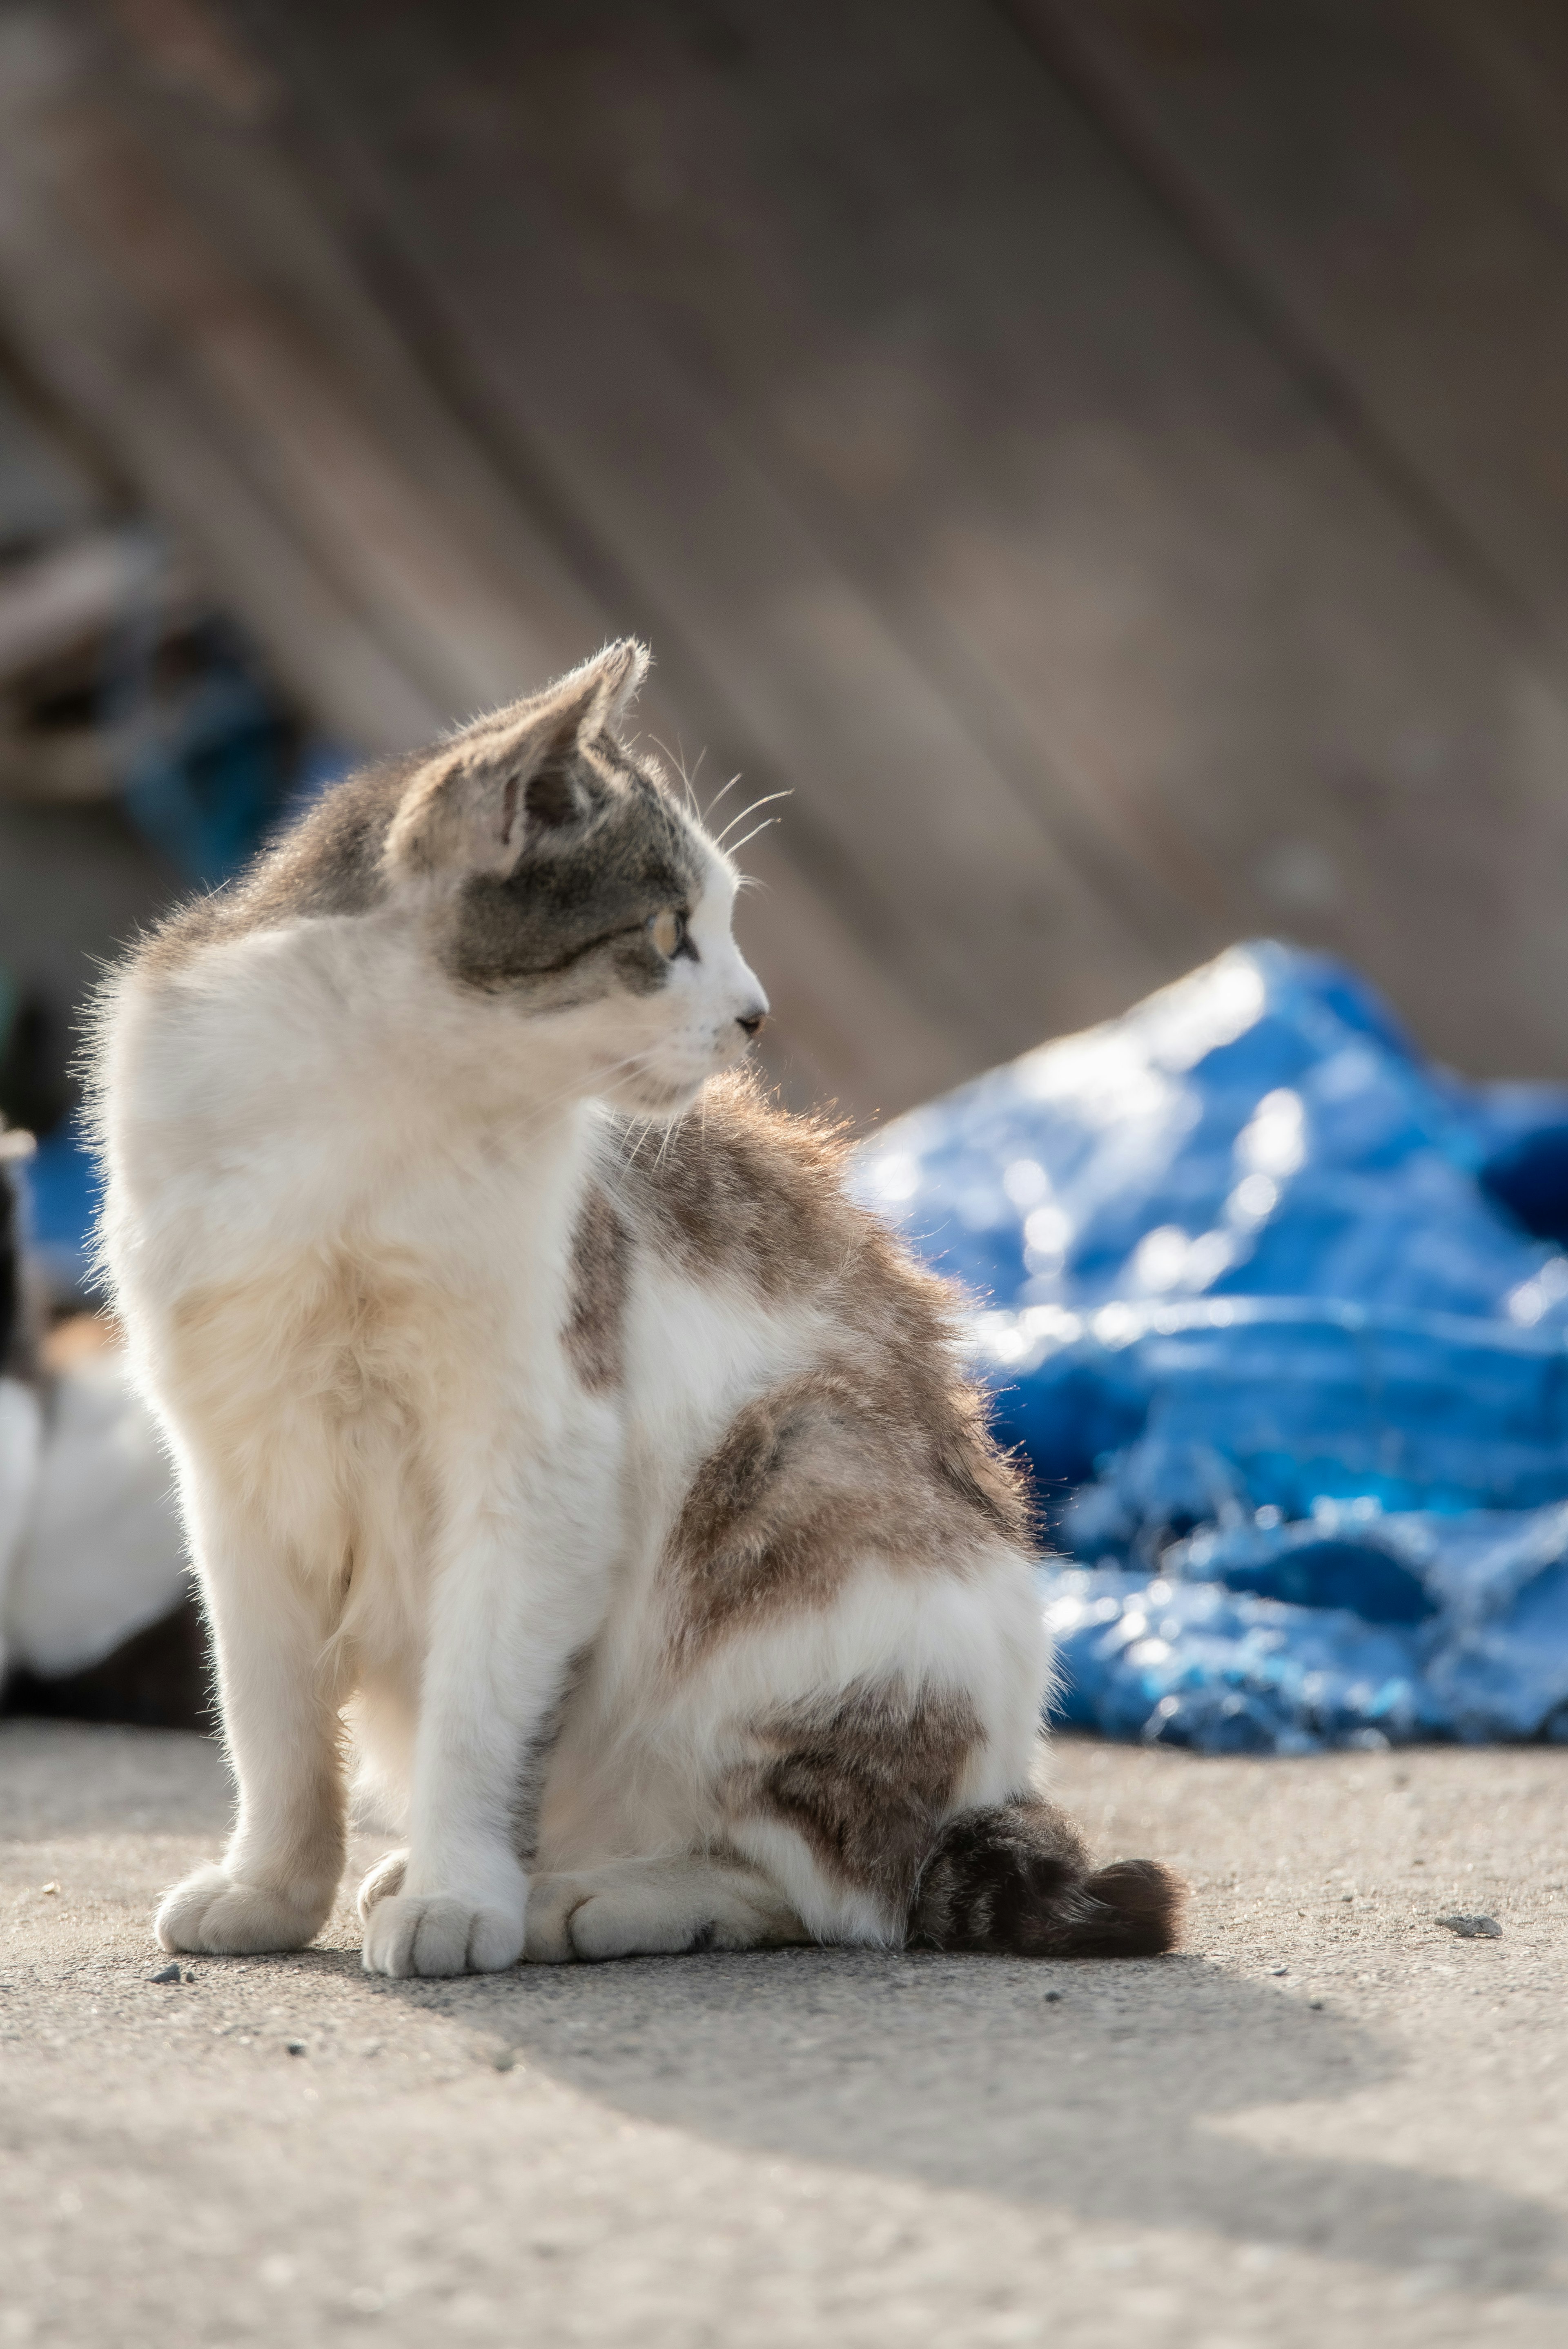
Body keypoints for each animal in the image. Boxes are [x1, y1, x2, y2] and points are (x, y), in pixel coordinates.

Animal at [92, 634, 1183, 1973]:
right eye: (668, 928)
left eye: (722, 919)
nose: (756, 1013)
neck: (367, 1123)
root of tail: (987, 1794)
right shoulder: (237, 1461)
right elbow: (271, 1712)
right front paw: (272, 1886)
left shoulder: (542, 1451)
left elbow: (476, 1708)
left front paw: (462, 1894)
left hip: (806, 1469)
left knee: (835, 1887)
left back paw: (587, 1896)